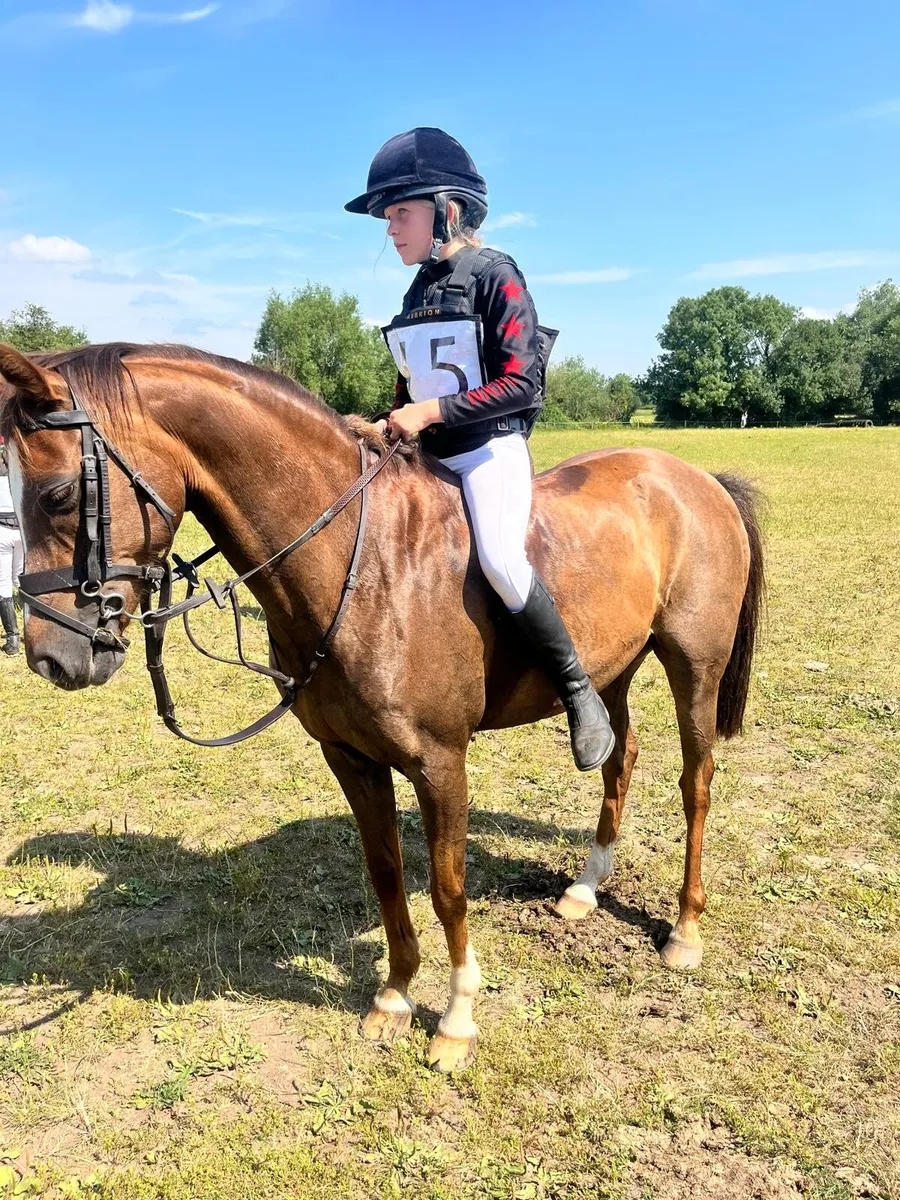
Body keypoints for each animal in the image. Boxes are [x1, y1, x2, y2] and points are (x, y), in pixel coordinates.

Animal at [0, 342, 764, 1073]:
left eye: (60, 493)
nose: (50, 656)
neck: (362, 564)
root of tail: (696, 478)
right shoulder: (351, 757)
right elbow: (387, 873)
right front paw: (394, 997)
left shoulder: (440, 762)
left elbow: (448, 888)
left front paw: (455, 1022)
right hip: (613, 670)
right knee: (617, 758)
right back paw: (583, 889)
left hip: (693, 668)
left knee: (696, 783)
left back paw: (685, 931)